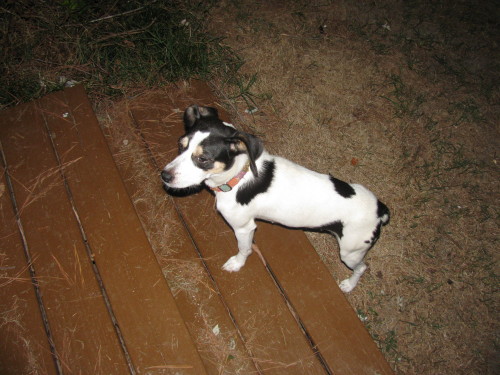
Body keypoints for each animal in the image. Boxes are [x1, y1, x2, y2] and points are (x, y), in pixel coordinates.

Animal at [162, 105, 388, 294]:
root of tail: (380, 210)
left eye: (203, 159)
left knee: (362, 267)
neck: (240, 175)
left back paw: (349, 285)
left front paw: (237, 264)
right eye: (180, 145)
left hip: (350, 252)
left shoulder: (244, 228)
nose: (164, 176)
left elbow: (244, 250)